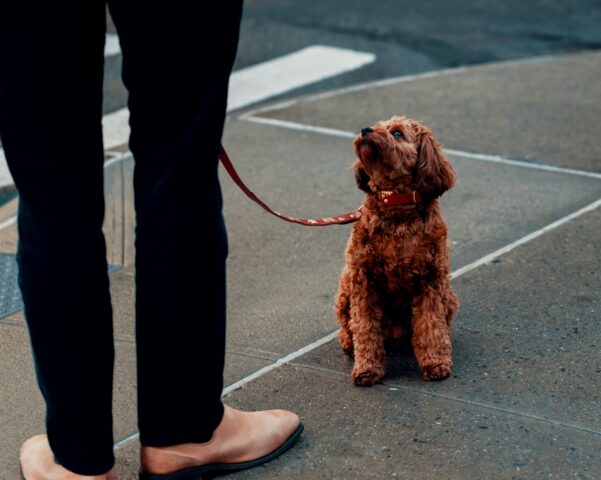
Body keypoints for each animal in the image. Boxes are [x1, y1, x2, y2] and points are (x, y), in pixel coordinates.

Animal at [336, 115, 458, 386]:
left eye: (397, 133)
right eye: (376, 124)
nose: (365, 129)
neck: (396, 204)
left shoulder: (431, 281)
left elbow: (431, 325)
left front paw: (435, 363)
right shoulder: (363, 281)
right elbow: (364, 327)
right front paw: (367, 368)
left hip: (449, 296)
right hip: (345, 290)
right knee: (347, 327)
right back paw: (348, 343)